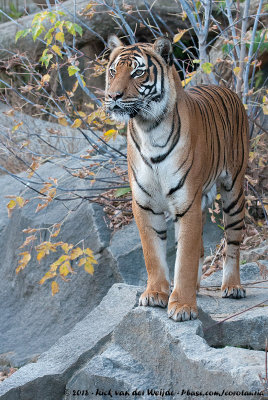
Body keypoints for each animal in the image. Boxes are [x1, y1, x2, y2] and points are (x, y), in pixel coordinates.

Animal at [104, 34, 249, 322]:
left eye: (137, 72)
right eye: (113, 71)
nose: (113, 96)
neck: (148, 129)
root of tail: (227, 90)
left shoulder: (187, 203)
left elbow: (184, 258)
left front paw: (182, 305)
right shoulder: (144, 204)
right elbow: (153, 253)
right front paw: (155, 294)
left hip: (233, 191)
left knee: (233, 241)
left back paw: (232, 286)